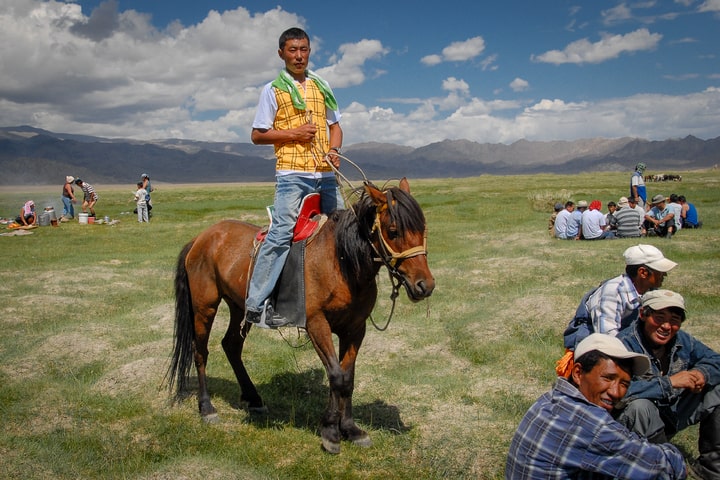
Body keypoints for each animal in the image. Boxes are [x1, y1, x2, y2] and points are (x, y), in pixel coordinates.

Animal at [169, 179, 436, 454]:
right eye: (393, 231)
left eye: (423, 228)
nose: (424, 285)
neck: (341, 262)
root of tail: (201, 238)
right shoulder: (317, 324)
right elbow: (336, 376)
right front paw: (330, 432)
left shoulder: (355, 328)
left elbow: (347, 378)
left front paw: (350, 429)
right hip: (205, 306)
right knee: (200, 352)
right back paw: (206, 408)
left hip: (239, 307)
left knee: (231, 345)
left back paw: (253, 398)